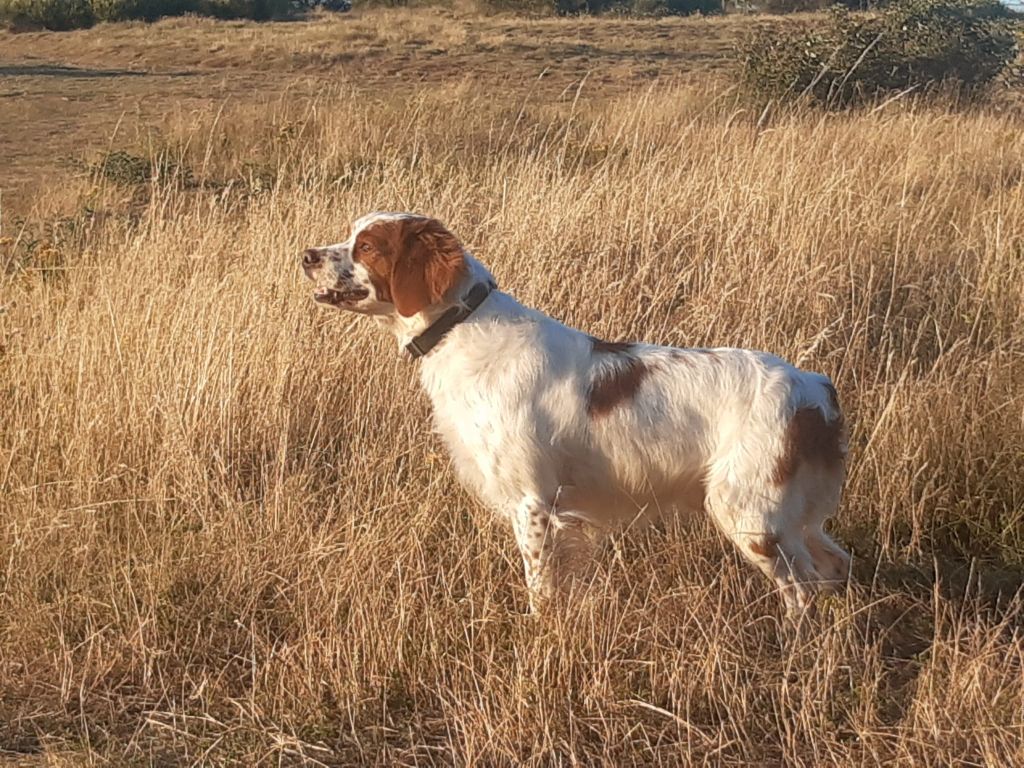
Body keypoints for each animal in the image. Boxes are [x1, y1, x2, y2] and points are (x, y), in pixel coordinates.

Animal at [299, 214, 851, 618]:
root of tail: (814, 389)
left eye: (367, 246)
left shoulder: (534, 504)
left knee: (802, 590)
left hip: (750, 514)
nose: (306, 256)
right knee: (835, 562)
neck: (461, 326)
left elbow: (540, 590)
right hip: (790, 516)